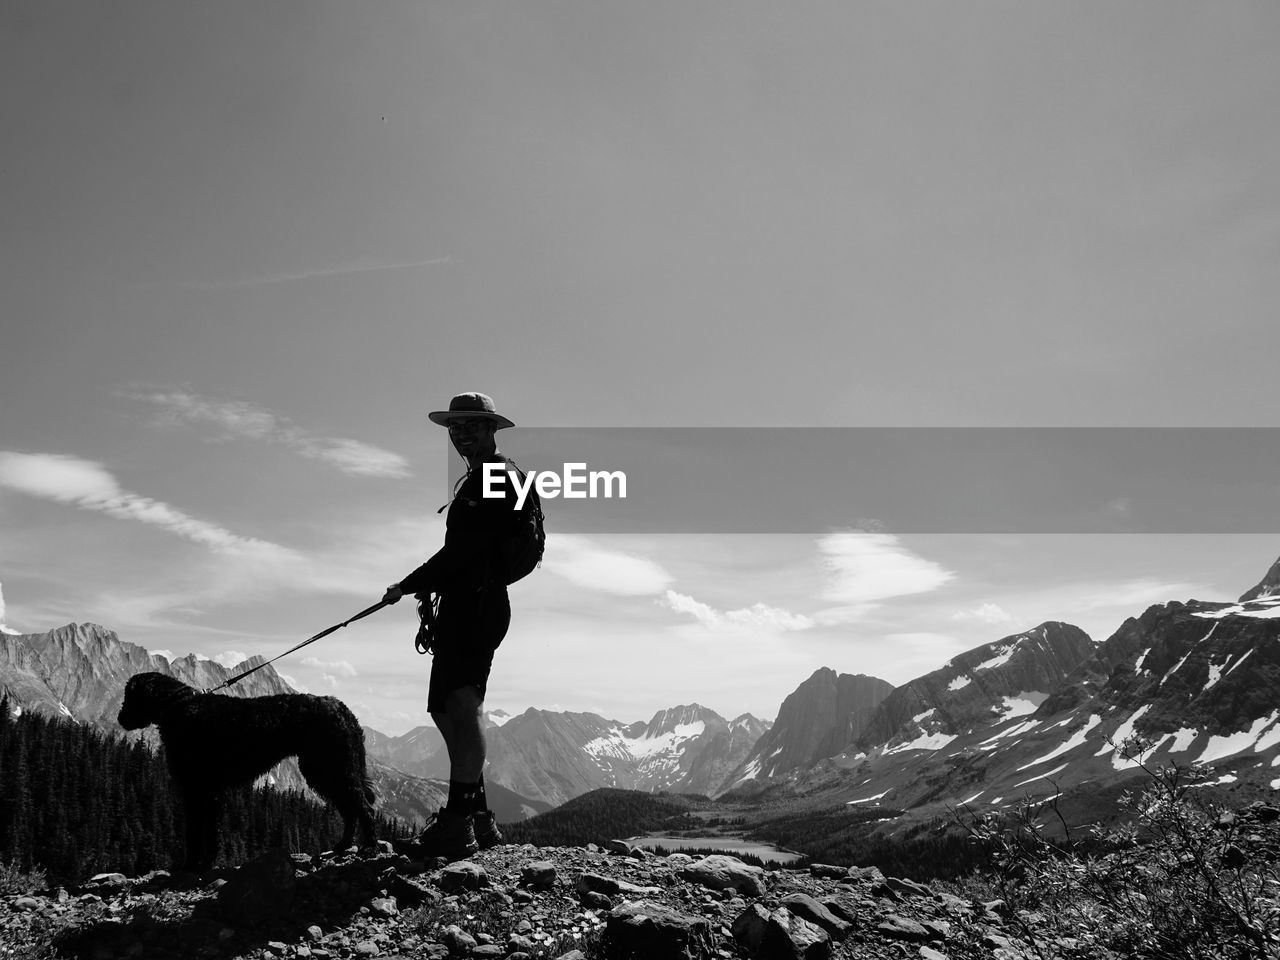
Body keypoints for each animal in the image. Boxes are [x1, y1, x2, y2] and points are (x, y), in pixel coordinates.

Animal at [117, 675, 376, 870]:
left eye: (129, 695)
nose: (120, 718)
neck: (180, 707)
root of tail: (342, 708)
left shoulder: (203, 790)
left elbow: (203, 832)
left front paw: (199, 865)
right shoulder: (202, 791)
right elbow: (202, 831)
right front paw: (198, 864)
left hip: (333, 768)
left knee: (365, 808)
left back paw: (370, 847)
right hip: (325, 771)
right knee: (350, 809)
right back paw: (343, 845)